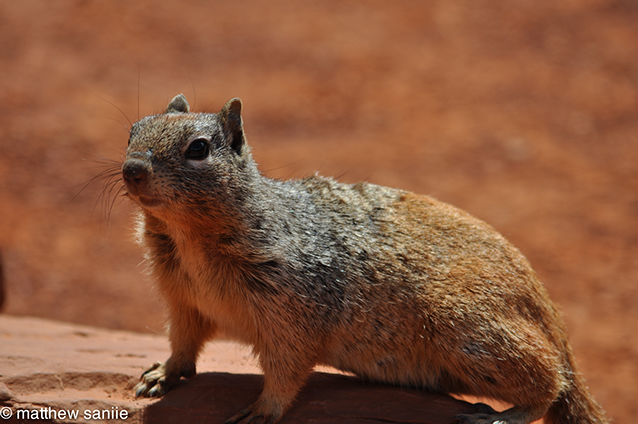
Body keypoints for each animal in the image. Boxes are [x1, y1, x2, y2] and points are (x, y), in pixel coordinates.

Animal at [125, 94, 608, 424]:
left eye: (198, 148)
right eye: (133, 129)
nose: (131, 170)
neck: (189, 239)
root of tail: (548, 311)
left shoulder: (291, 311)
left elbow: (286, 369)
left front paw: (261, 410)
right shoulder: (183, 299)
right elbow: (183, 341)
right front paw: (161, 374)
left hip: (472, 331)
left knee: (551, 383)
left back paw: (500, 415)